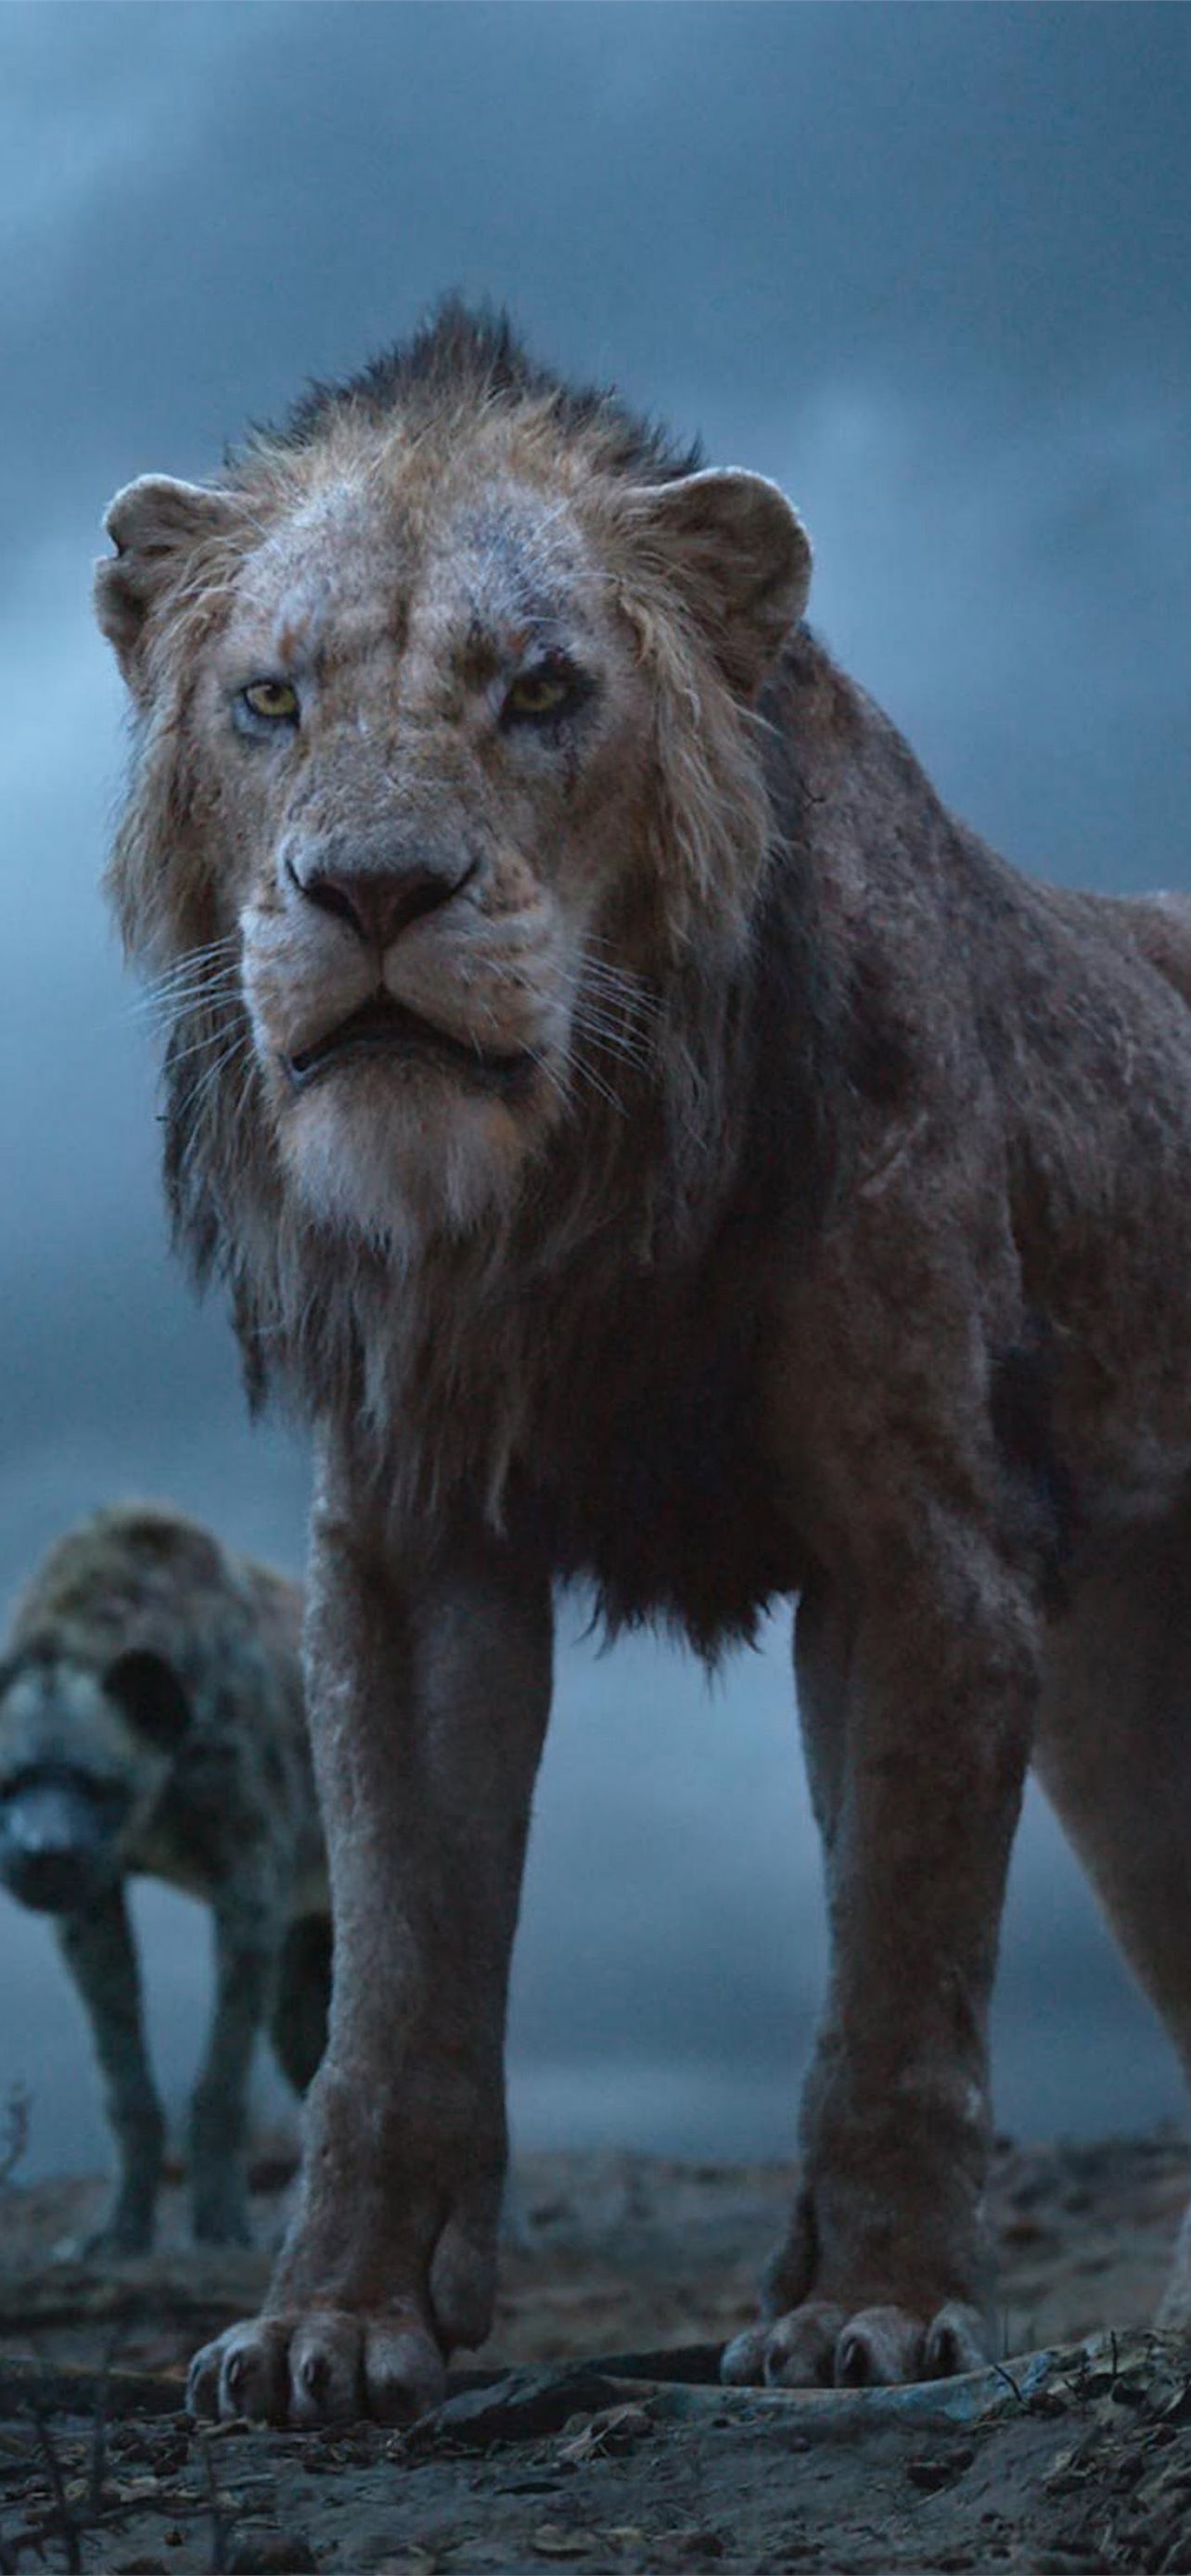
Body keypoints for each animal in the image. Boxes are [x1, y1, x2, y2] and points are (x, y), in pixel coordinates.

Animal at [94, 302, 1191, 2425]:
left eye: (541, 691)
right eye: (270, 700)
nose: (374, 891)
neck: (558, 1200)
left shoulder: (924, 1543)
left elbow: (895, 1963)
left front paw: (871, 2308)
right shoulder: (410, 1550)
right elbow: (394, 1981)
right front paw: (331, 2322)